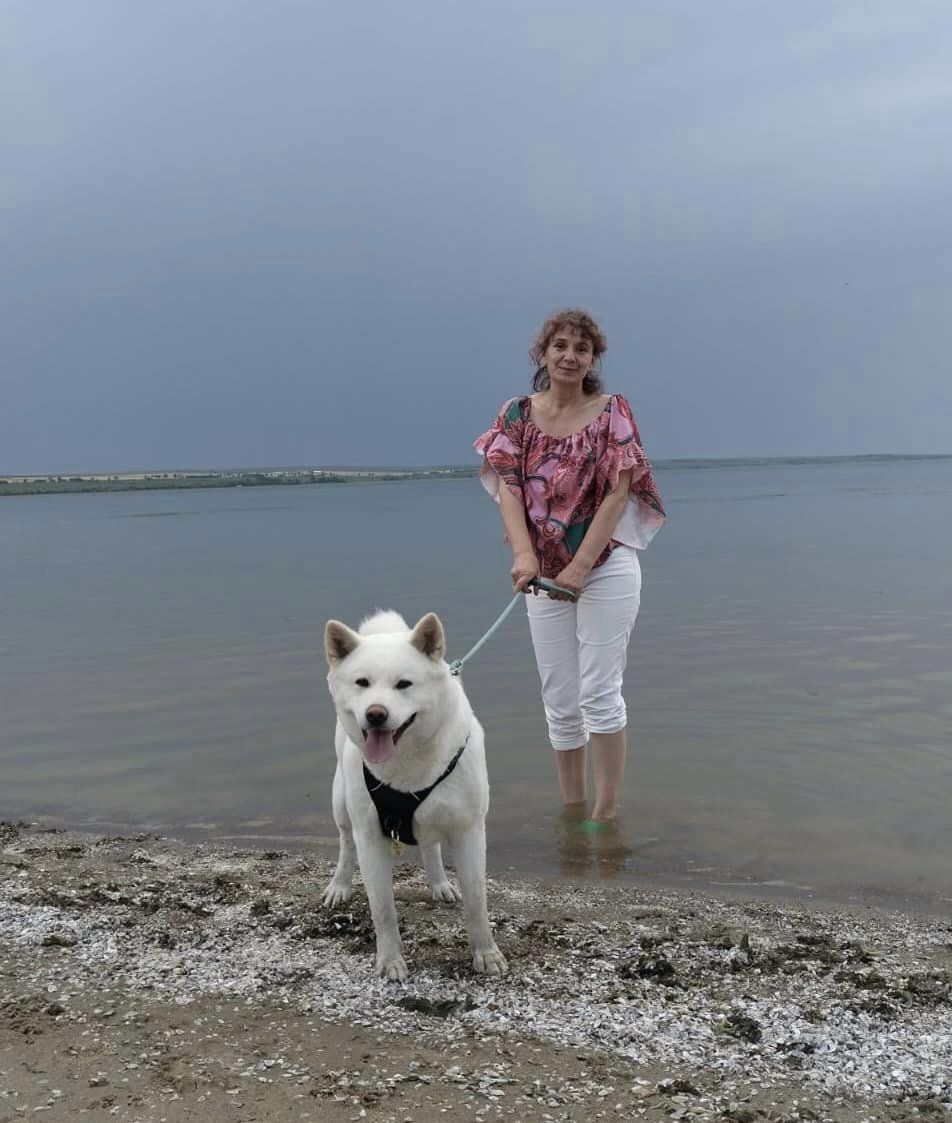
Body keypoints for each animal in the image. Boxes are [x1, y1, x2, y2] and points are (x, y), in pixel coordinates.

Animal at [322, 609, 508, 981]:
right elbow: (383, 909)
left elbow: (476, 903)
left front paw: (486, 954)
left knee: (430, 847)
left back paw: (439, 883)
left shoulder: (469, 830)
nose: (375, 714)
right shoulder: (370, 838)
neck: (408, 764)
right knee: (346, 846)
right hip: (342, 807)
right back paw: (340, 886)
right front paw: (390, 960)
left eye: (403, 684)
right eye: (362, 683)